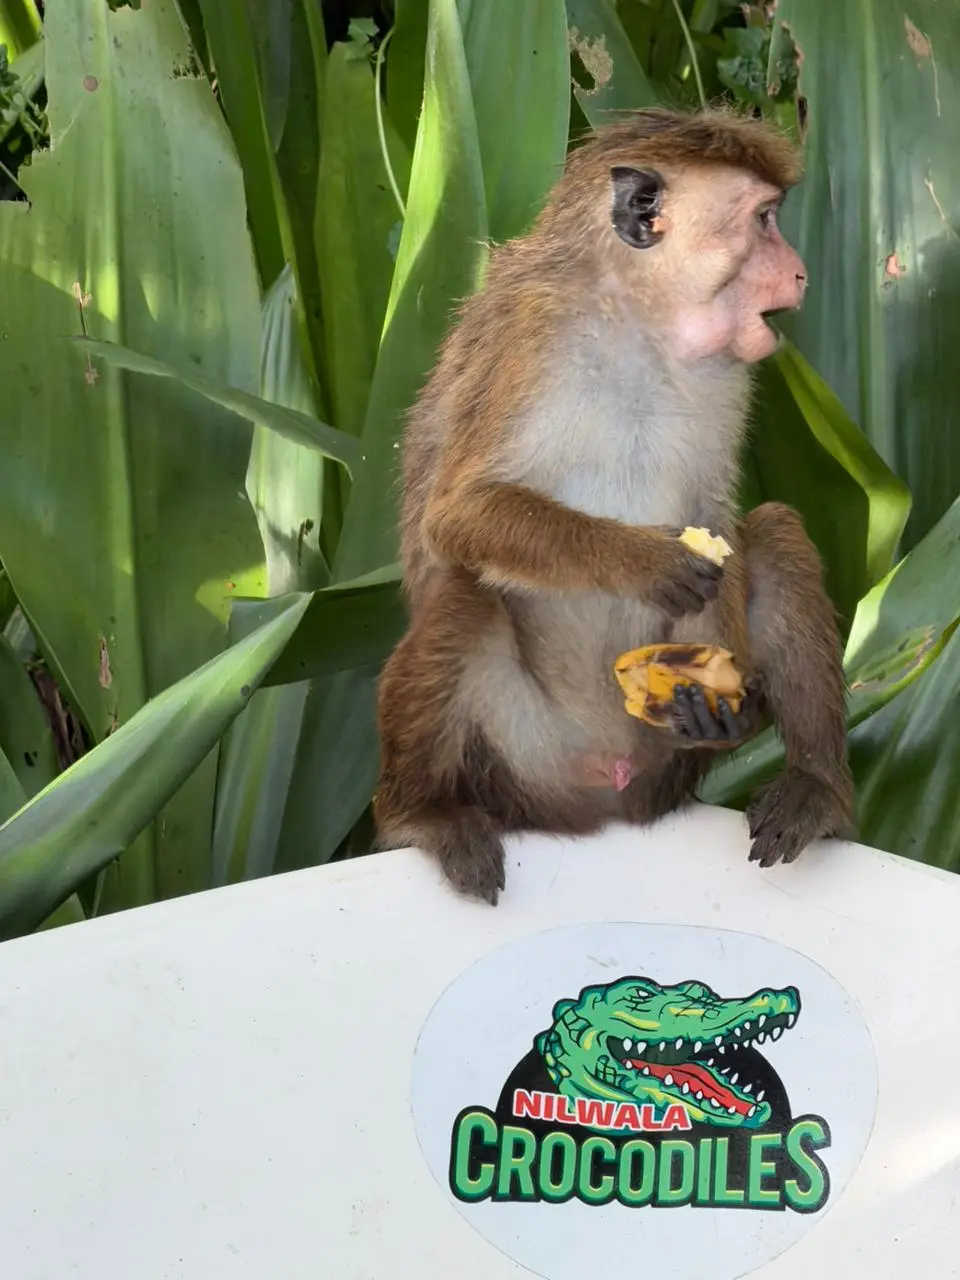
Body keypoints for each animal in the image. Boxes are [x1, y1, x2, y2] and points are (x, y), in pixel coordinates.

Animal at [373, 106, 856, 906]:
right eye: (763, 221)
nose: (800, 270)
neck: (640, 322)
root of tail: (606, 799)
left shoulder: (727, 373)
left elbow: (718, 516)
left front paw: (719, 697)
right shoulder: (532, 335)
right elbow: (460, 514)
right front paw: (644, 561)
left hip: (659, 756)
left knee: (777, 533)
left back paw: (815, 789)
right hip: (517, 753)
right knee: (464, 598)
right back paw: (421, 815)